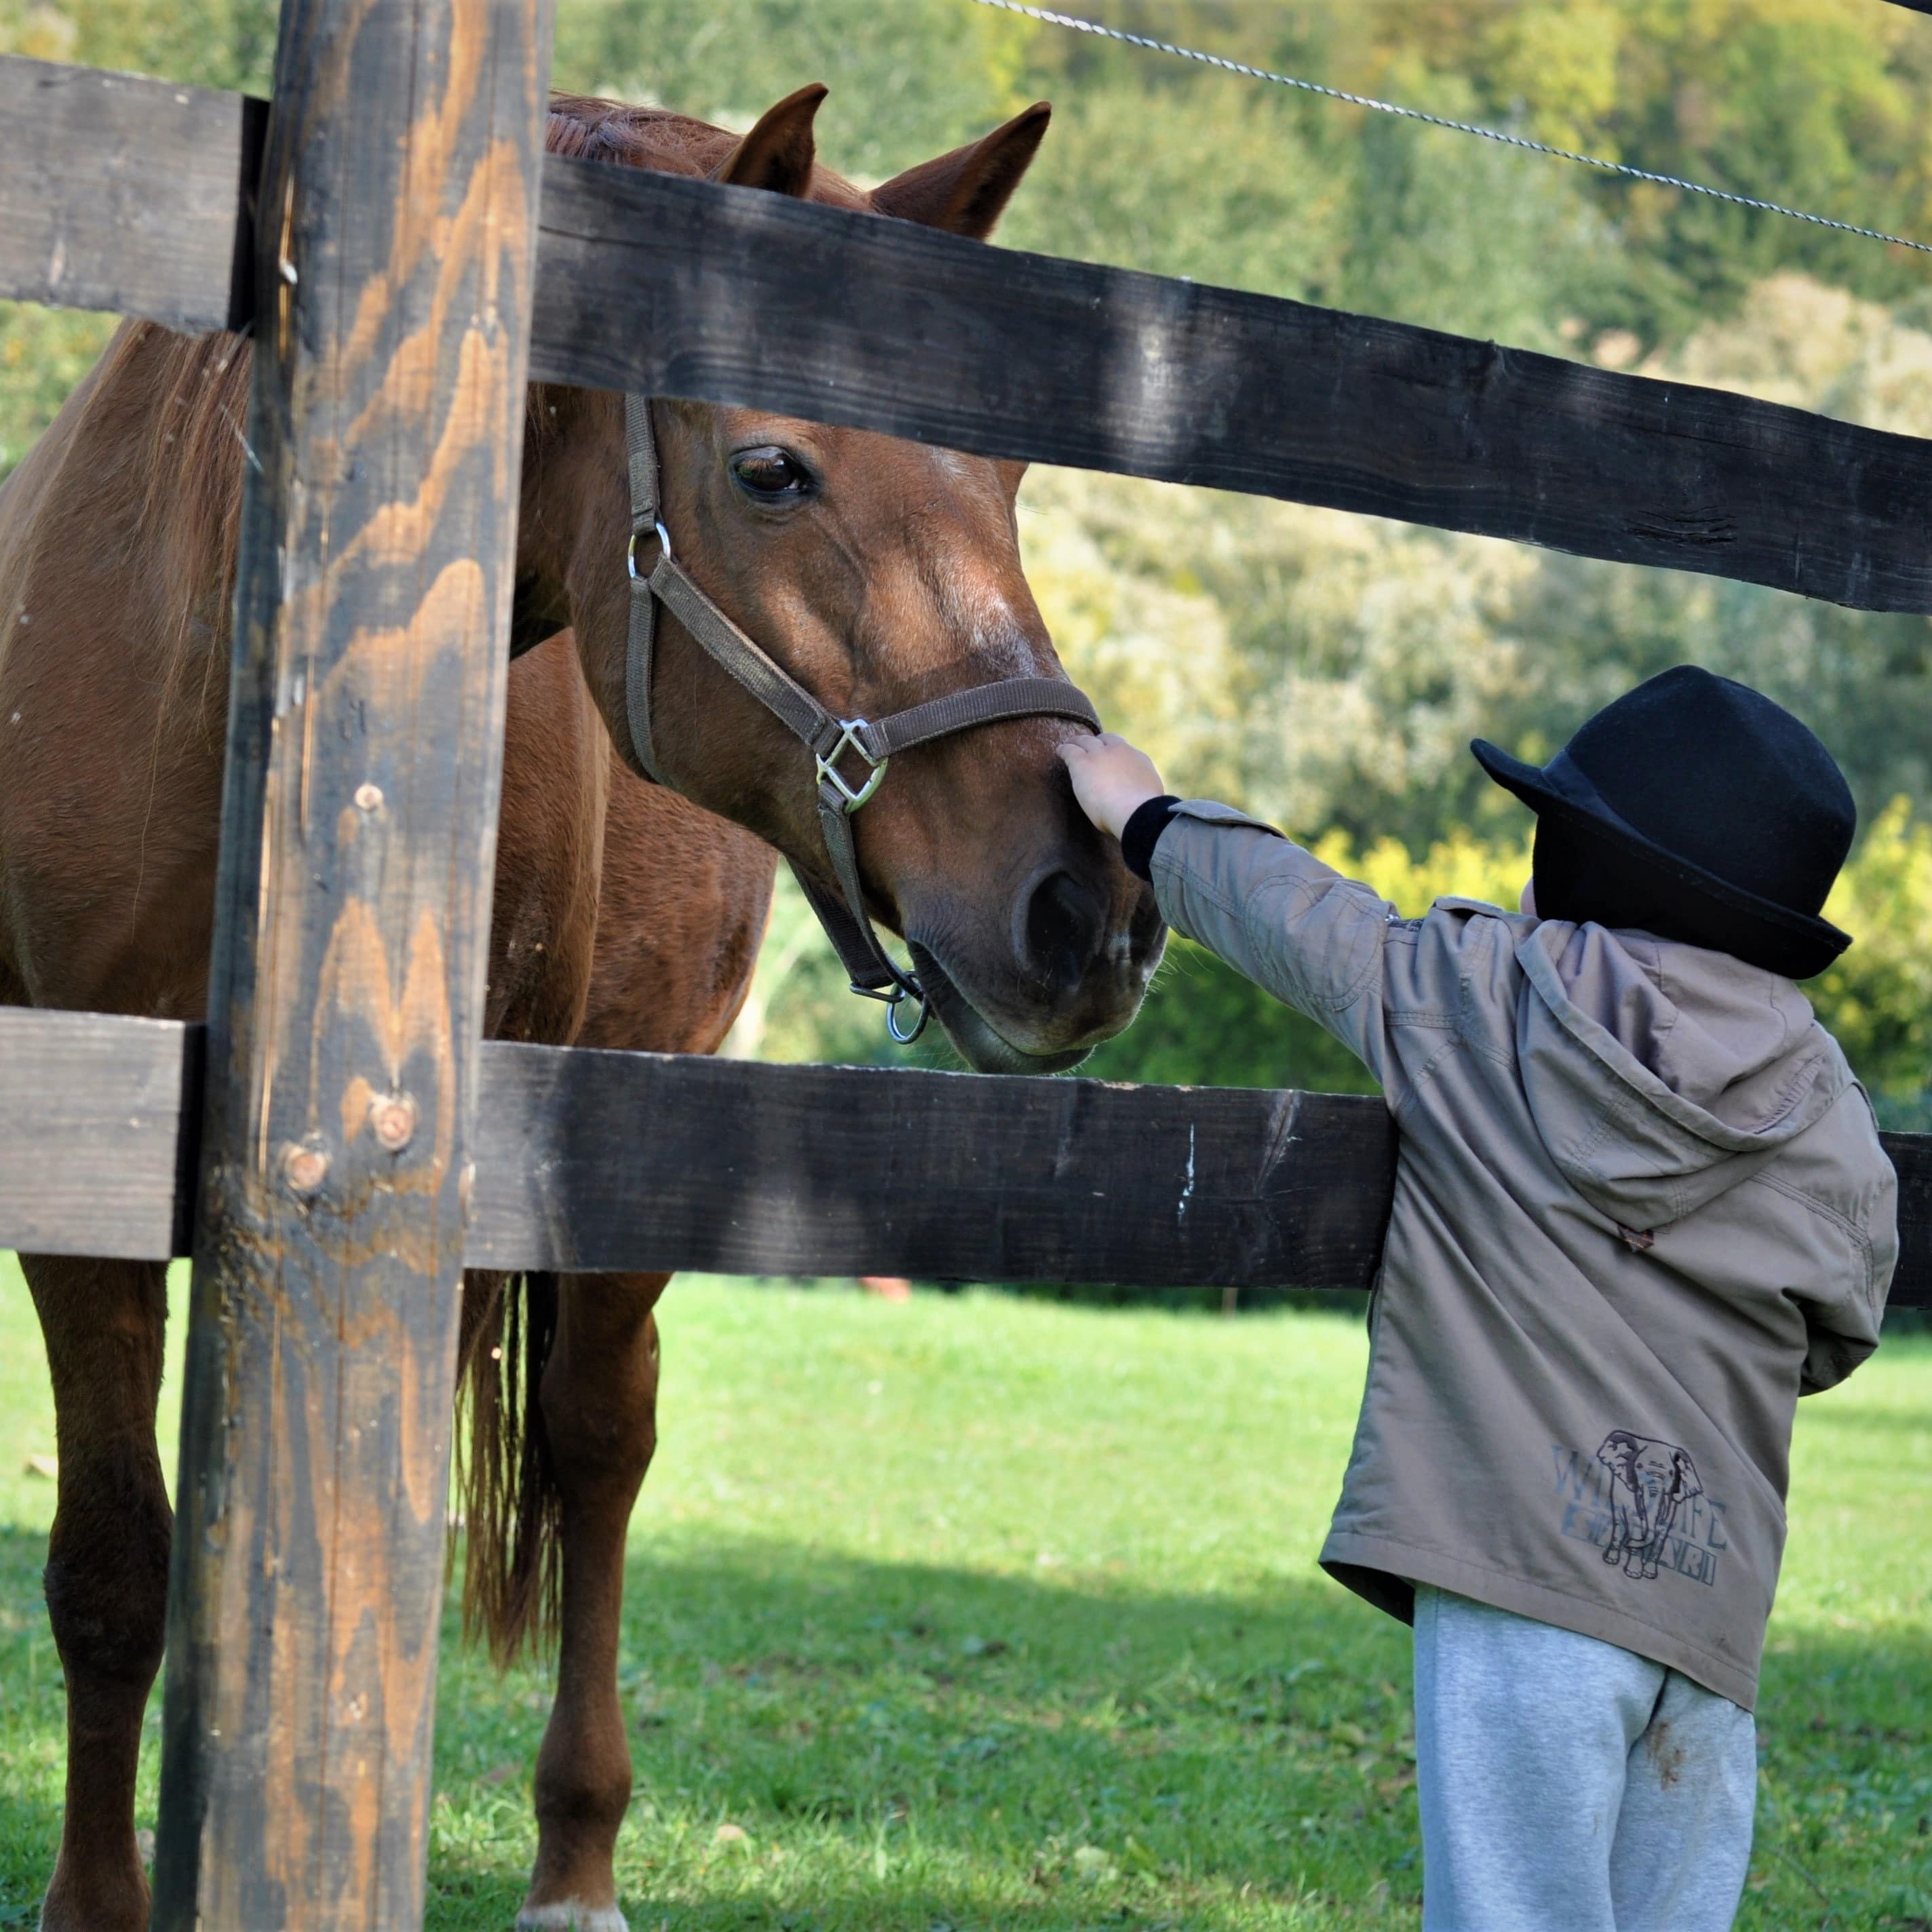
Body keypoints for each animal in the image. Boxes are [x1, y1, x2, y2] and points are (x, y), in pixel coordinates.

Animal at [0, 83, 1159, 1924]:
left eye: (1010, 469)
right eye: (770, 467)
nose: (1086, 904)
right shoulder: (79, 1174)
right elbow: (116, 1559)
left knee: (597, 1447)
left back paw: (574, 1853)